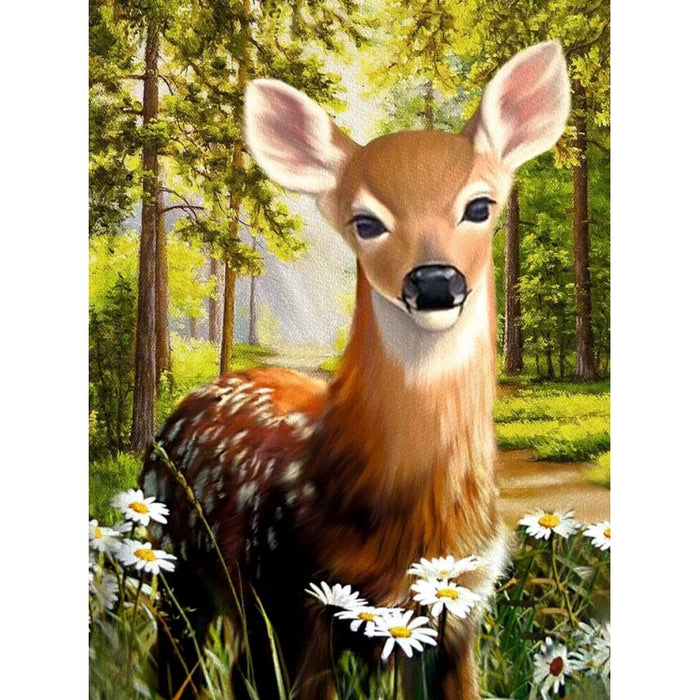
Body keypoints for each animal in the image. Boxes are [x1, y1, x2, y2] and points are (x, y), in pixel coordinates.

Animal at [140, 41, 570, 700]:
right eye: (365, 221)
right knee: (175, 666)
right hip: (179, 568)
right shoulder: (292, 587)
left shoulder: (463, 608)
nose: (435, 282)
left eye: (480, 206)